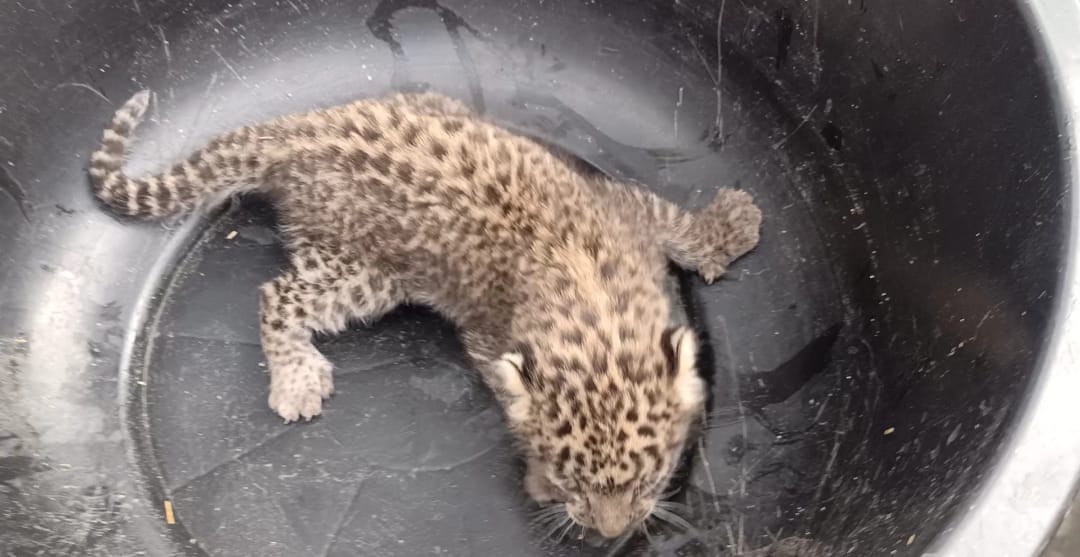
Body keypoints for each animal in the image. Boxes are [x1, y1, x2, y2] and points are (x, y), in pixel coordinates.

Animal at [89, 89, 762, 539]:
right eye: (575, 482)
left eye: (650, 478)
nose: (611, 532)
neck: (592, 300)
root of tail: (296, 131)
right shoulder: (489, 339)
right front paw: (539, 480)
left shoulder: (625, 206)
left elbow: (672, 220)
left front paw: (729, 227)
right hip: (364, 272)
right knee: (276, 295)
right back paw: (297, 380)